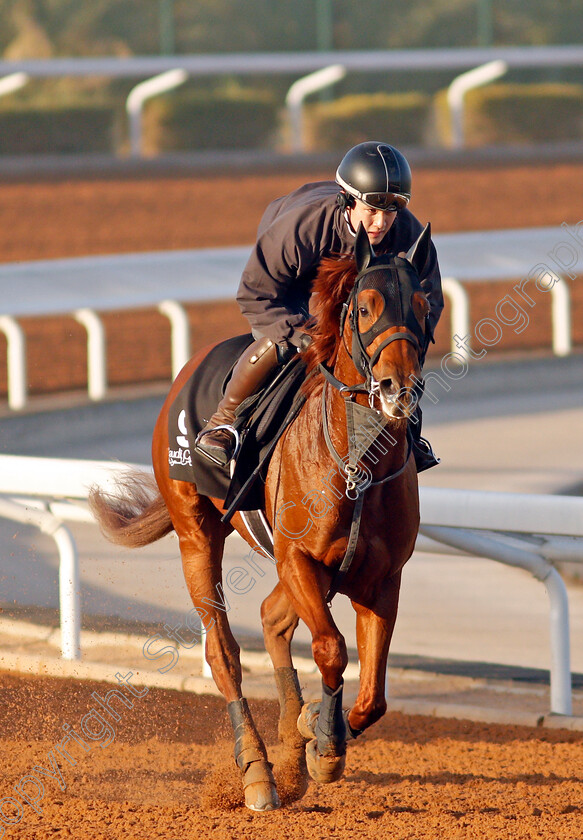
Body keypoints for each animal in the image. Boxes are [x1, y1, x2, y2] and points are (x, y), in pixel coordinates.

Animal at [90, 221, 428, 808]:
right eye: (365, 306)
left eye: (428, 306)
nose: (397, 390)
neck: (358, 464)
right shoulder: (299, 559)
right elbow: (332, 650)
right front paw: (324, 747)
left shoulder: (381, 577)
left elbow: (374, 697)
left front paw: (316, 734)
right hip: (197, 533)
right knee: (222, 651)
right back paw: (257, 772)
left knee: (272, 617)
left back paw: (292, 741)